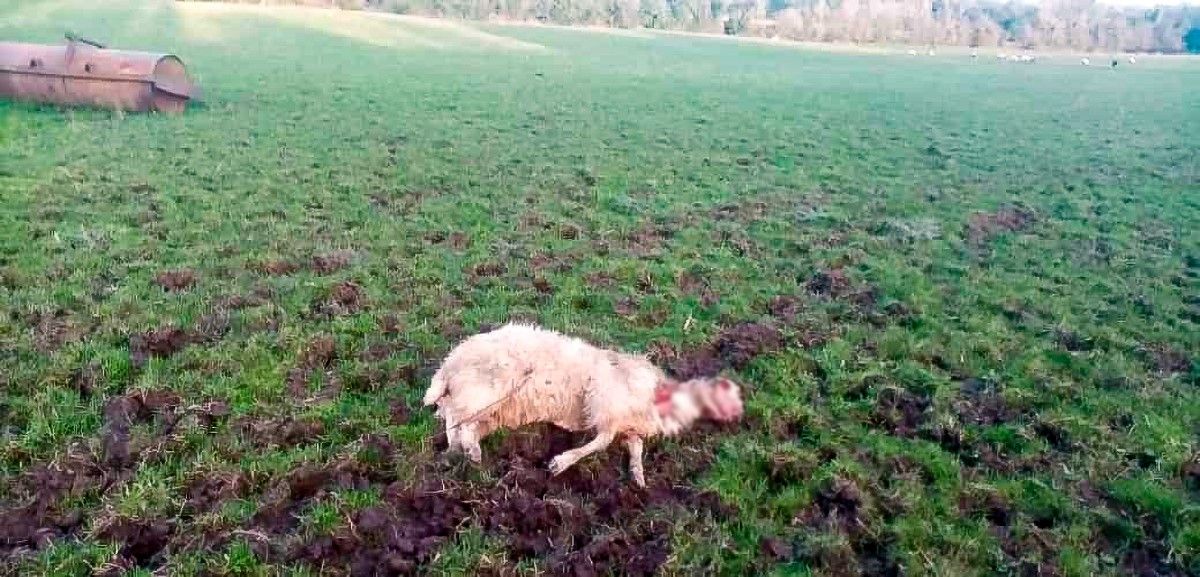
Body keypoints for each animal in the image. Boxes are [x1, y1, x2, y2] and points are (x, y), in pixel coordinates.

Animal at [423, 323, 745, 487]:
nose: (736, 416)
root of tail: (449, 364)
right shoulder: (605, 398)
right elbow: (602, 440)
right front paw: (560, 463)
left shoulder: (626, 423)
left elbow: (634, 446)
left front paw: (638, 474)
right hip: (488, 387)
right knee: (457, 417)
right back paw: (471, 452)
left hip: (489, 407)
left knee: (456, 419)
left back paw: (461, 451)